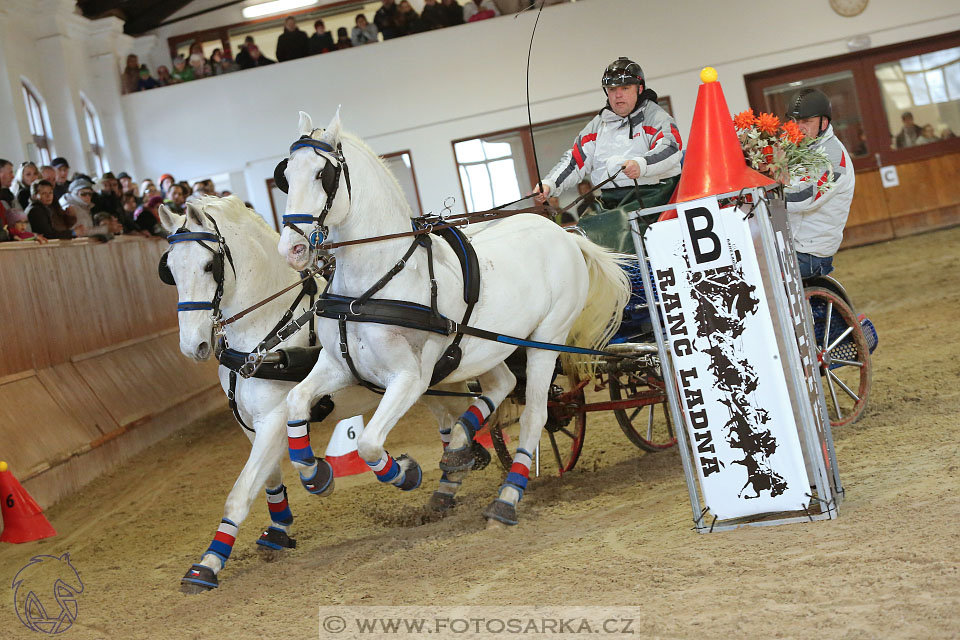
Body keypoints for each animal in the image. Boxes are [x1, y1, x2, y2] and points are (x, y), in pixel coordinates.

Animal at [158, 195, 472, 592]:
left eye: (208, 265)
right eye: (169, 270)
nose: (193, 345)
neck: (266, 332)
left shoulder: (274, 420)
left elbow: (239, 493)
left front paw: (207, 564)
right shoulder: (249, 425)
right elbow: (267, 479)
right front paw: (278, 528)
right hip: (431, 385)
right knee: (449, 421)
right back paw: (452, 475)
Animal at [276, 110, 632, 524]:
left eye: (323, 174)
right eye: (286, 174)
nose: (291, 249)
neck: (368, 291)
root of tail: (565, 233)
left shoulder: (410, 378)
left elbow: (367, 444)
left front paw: (405, 472)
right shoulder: (338, 366)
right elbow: (296, 401)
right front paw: (315, 474)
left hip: (545, 342)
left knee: (535, 416)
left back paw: (507, 497)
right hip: (483, 348)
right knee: (503, 384)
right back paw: (460, 450)